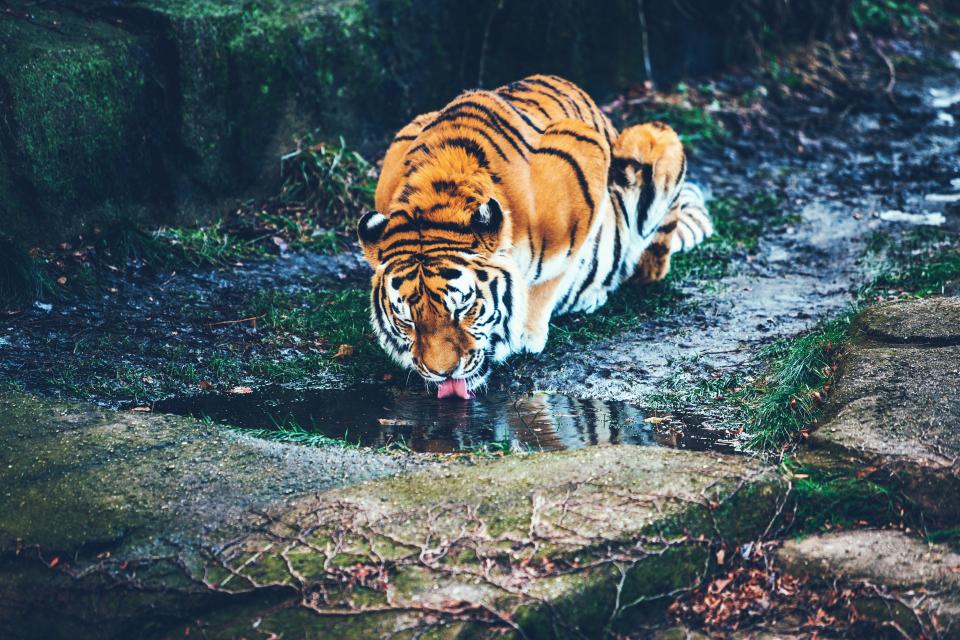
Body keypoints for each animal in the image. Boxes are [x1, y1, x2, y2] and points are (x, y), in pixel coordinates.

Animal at [357, 74, 712, 399]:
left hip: (652, 138)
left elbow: (551, 276)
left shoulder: (585, 159)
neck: (439, 192)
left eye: (464, 308)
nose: (444, 373)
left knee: (648, 265)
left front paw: (526, 334)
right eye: (407, 320)